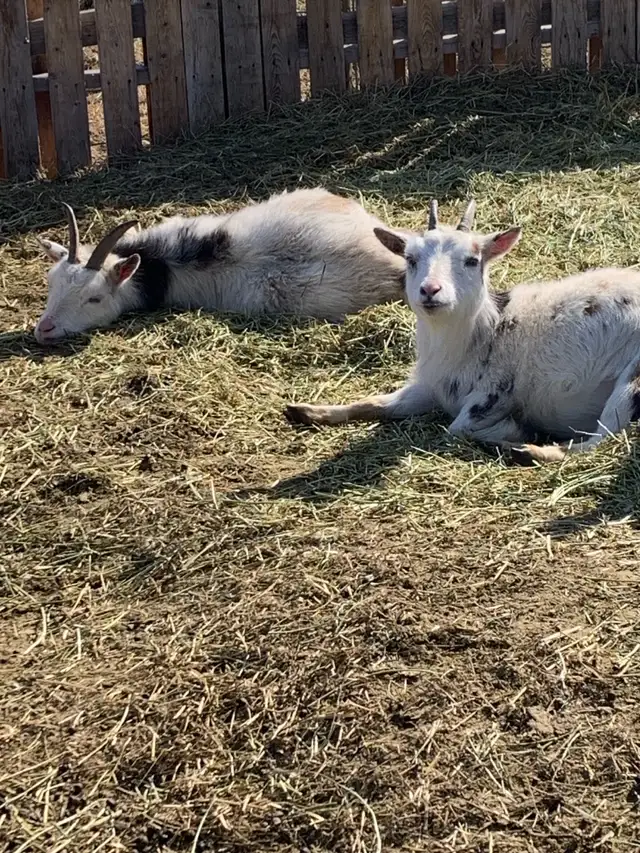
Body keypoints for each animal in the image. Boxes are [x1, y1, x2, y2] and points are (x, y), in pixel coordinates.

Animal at [285, 199, 640, 464]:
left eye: (471, 260)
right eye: (410, 259)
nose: (430, 290)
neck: (483, 333)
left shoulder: (492, 394)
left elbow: (456, 428)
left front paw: (515, 430)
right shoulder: (431, 387)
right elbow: (377, 403)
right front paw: (305, 410)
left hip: (632, 378)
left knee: (603, 438)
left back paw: (526, 449)